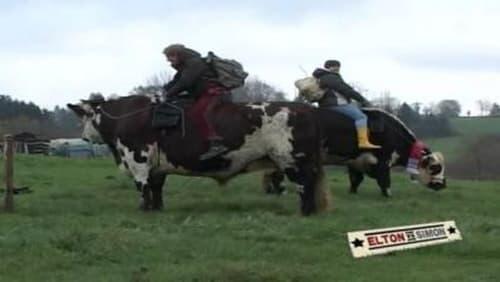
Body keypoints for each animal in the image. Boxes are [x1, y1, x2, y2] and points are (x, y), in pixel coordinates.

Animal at [68, 95, 330, 216]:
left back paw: (305, 212)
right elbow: (156, 188)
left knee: (305, 186)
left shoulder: (138, 159)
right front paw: (157, 209)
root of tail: (305, 108)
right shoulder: (157, 166)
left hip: (293, 161)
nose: (84, 137)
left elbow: (143, 187)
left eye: (85, 116)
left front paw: (143, 209)